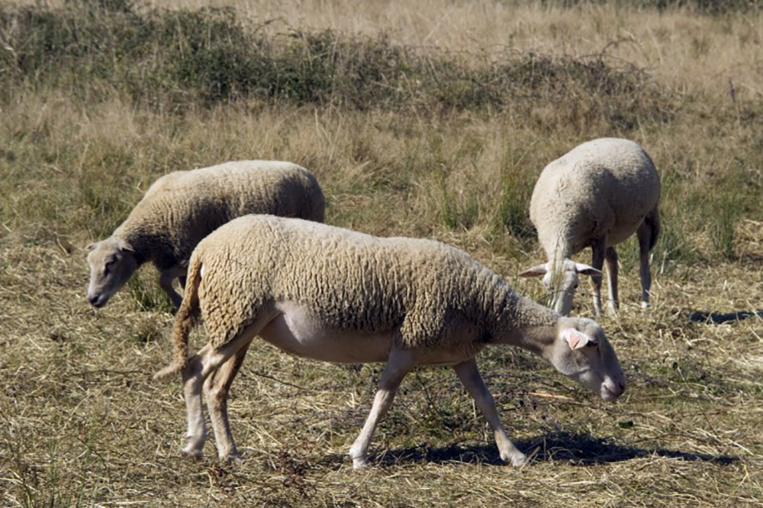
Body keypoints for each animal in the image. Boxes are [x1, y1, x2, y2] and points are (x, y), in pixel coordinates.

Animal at [86, 160, 326, 310]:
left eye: (111, 263)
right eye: (90, 264)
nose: (92, 298)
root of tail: (307, 172)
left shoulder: (188, 254)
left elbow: (163, 281)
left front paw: (179, 302)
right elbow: (179, 284)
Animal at [154, 214, 626, 468]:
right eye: (592, 346)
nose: (620, 387)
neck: (485, 308)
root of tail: (205, 248)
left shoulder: (459, 354)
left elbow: (486, 400)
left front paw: (513, 454)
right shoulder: (409, 344)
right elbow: (383, 399)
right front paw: (359, 455)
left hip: (241, 324)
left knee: (216, 386)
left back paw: (222, 449)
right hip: (236, 315)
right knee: (196, 370)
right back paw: (199, 443)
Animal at [520, 138, 661, 316]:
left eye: (575, 286)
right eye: (547, 286)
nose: (561, 314)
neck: (560, 218)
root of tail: (620, 139)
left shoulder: (598, 237)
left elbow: (595, 280)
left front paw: (598, 313)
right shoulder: (601, 233)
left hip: (647, 217)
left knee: (644, 265)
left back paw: (644, 307)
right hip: (610, 230)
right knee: (612, 262)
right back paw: (613, 307)